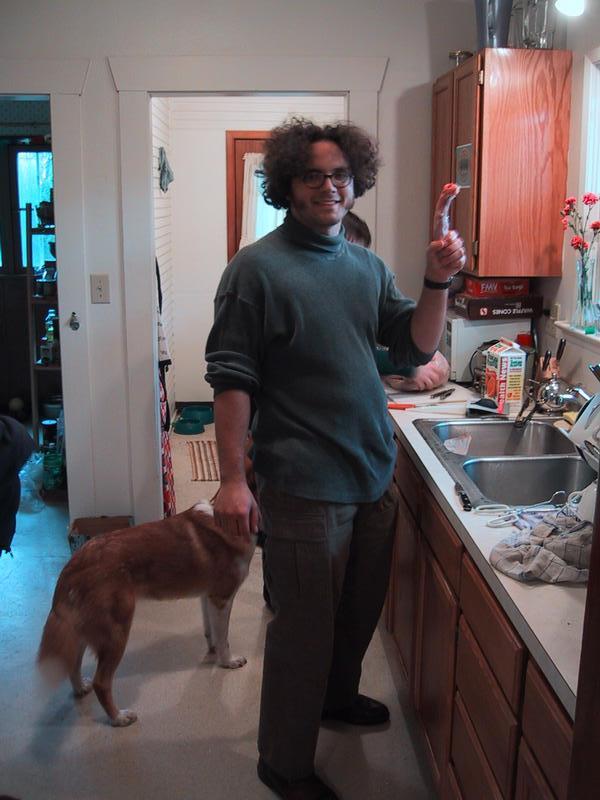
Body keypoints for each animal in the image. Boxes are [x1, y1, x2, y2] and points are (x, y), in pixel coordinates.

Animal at [37, 500, 256, 727]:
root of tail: (74, 563)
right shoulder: (222, 598)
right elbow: (223, 639)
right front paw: (228, 662)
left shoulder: (208, 597)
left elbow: (210, 632)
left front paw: (212, 651)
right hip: (117, 631)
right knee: (101, 683)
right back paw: (119, 717)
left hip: (83, 630)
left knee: (73, 663)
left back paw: (80, 688)